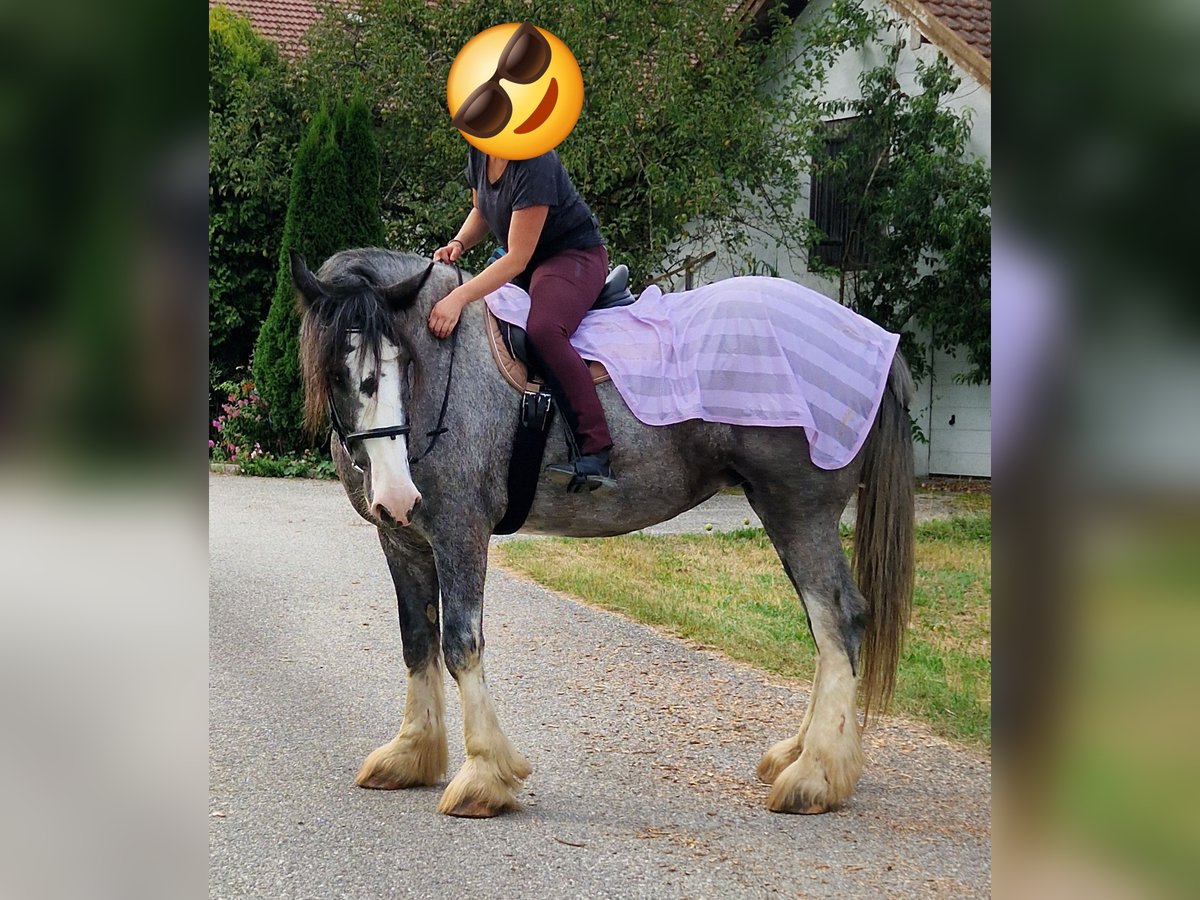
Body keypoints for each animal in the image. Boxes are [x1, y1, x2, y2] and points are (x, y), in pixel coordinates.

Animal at [290, 250, 907, 820]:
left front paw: (485, 775)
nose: (396, 491)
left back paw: (815, 775)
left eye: (403, 362)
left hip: (799, 511)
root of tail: (872, 338)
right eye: (337, 373)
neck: (446, 366)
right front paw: (411, 754)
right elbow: (417, 639)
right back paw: (802, 755)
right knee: (827, 628)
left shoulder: (460, 532)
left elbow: (460, 644)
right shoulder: (404, 540)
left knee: (839, 621)